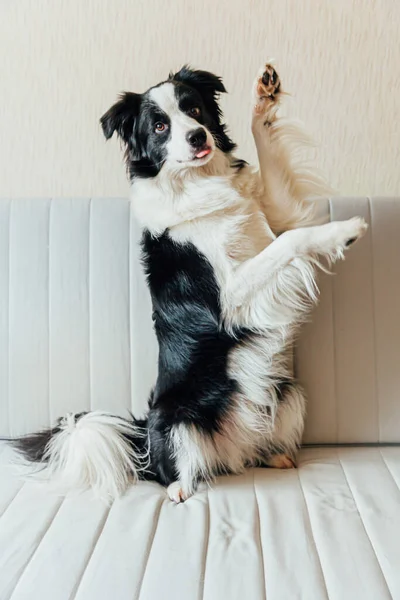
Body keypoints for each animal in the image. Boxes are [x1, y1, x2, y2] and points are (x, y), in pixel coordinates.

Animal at [10, 62, 366, 502]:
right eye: (160, 126)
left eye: (194, 109)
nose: (197, 136)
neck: (196, 180)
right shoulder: (229, 297)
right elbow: (291, 241)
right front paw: (346, 231)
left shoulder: (278, 214)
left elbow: (273, 173)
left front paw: (263, 97)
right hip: (176, 418)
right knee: (167, 470)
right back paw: (179, 488)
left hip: (288, 391)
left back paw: (275, 457)